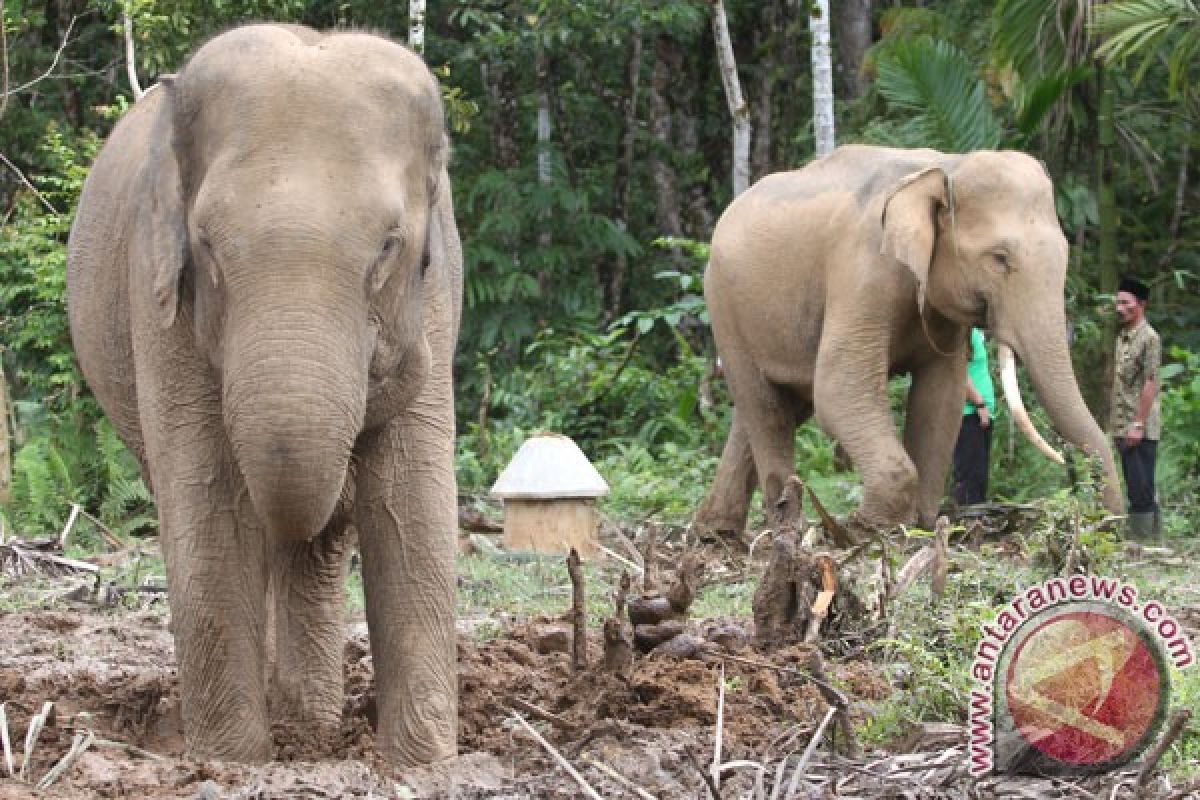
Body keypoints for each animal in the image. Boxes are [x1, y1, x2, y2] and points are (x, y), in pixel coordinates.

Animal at [68, 21, 463, 767]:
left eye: (388, 246)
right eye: (207, 244)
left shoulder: (434, 307)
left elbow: (410, 500)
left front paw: (422, 763)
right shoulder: (157, 295)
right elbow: (208, 499)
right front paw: (233, 760)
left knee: (317, 545)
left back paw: (311, 727)